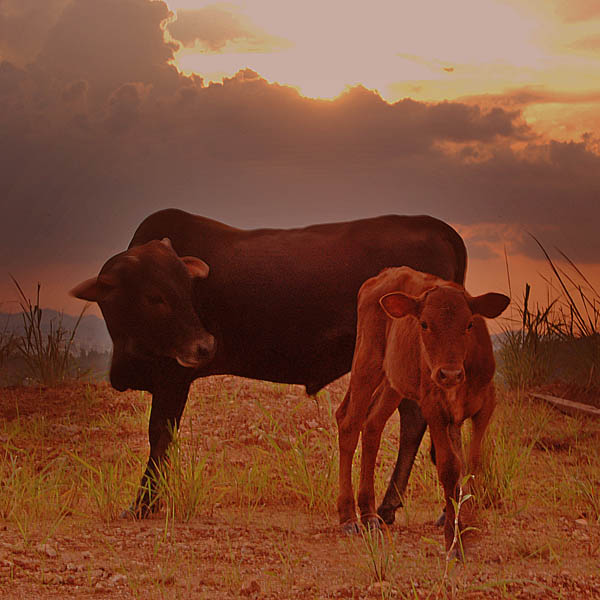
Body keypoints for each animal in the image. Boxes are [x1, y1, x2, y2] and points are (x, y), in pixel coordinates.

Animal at [71, 210, 468, 516]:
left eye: (186, 288)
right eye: (154, 296)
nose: (206, 345)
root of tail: (437, 227)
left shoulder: (173, 376)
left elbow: (160, 436)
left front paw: (144, 504)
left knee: (414, 422)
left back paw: (389, 505)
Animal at [336, 270, 508, 552]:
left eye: (469, 324)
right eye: (425, 324)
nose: (449, 374)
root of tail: (383, 275)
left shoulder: (486, 404)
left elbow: (471, 463)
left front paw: (463, 521)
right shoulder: (433, 405)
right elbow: (449, 466)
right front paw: (453, 540)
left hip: (394, 379)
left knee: (372, 424)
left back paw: (370, 513)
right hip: (367, 360)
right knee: (349, 422)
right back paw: (349, 516)